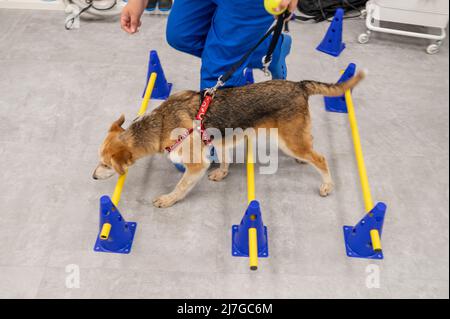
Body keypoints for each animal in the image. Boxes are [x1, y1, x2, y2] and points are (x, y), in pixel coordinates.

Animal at [93, 72, 364, 208]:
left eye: (106, 164)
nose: (93, 177)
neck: (160, 123)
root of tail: (299, 85)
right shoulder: (217, 141)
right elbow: (223, 159)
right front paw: (222, 173)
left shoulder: (195, 165)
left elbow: (181, 186)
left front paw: (169, 199)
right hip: (294, 136)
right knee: (311, 144)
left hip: (289, 141)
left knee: (321, 158)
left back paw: (327, 185)